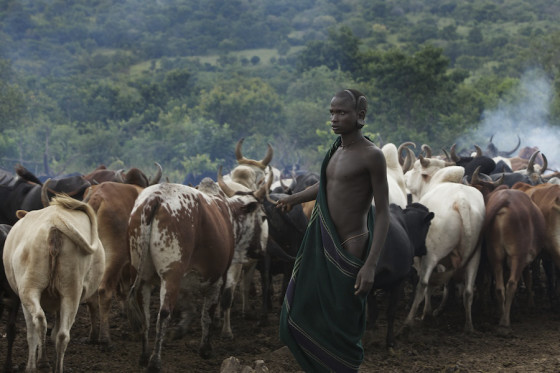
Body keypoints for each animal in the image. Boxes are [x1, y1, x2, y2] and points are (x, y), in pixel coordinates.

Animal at [3, 192, 105, 372]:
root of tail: (55, 223)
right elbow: (56, 331)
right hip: (71, 293)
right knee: (62, 335)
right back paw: (56, 366)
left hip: (29, 288)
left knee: (37, 323)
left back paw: (35, 365)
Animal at [126, 171, 270, 370]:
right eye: (263, 216)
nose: (260, 251)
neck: (228, 212)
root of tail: (156, 197)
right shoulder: (218, 277)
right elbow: (207, 313)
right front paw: (206, 348)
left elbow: (189, 305)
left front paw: (182, 327)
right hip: (171, 275)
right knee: (163, 314)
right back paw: (155, 362)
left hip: (142, 277)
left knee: (146, 316)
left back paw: (144, 355)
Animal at [370, 201, 436, 348]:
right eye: (428, 225)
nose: (424, 249)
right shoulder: (398, 279)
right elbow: (390, 311)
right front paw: (390, 340)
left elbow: (373, 312)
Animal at [402, 158, 486, 330]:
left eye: (416, 168)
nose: (405, 175)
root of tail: (461, 201)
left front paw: (426, 312)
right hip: (475, 256)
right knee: (468, 290)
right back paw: (469, 325)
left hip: (431, 254)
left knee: (424, 283)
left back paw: (410, 320)